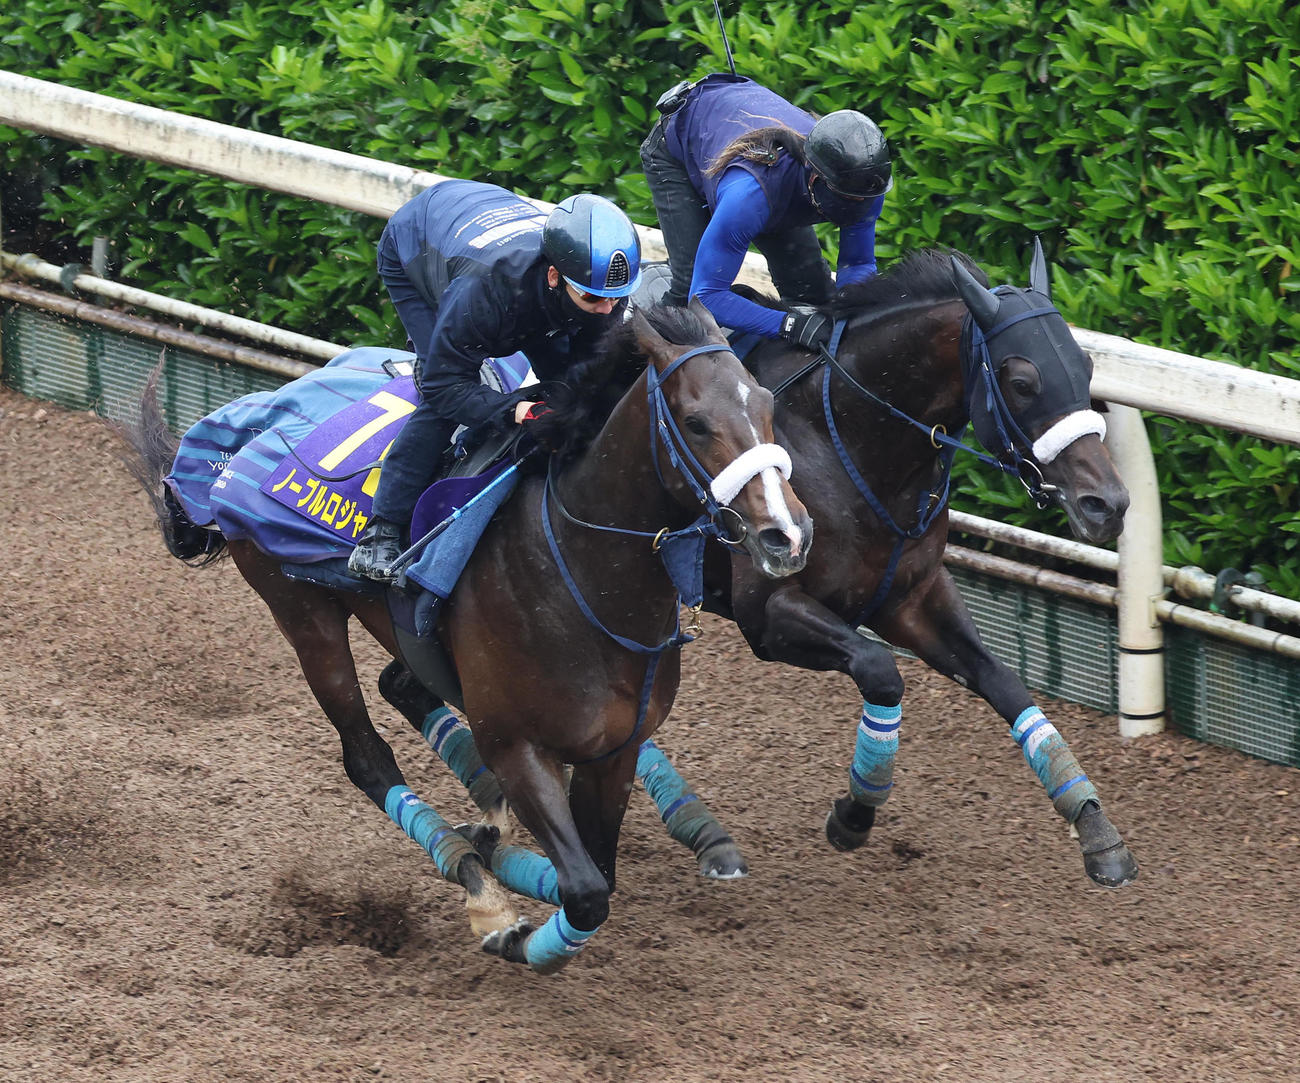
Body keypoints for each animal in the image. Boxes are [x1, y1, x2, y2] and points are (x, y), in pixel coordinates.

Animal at [119, 299, 813, 974]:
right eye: (695, 423)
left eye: (768, 406)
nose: (786, 533)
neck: (578, 579)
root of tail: (238, 435)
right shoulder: (517, 744)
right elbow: (585, 891)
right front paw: (512, 931)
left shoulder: (613, 750)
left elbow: (599, 871)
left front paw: (501, 846)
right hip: (302, 612)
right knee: (366, 756)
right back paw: (482, 887)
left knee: (402, 685)